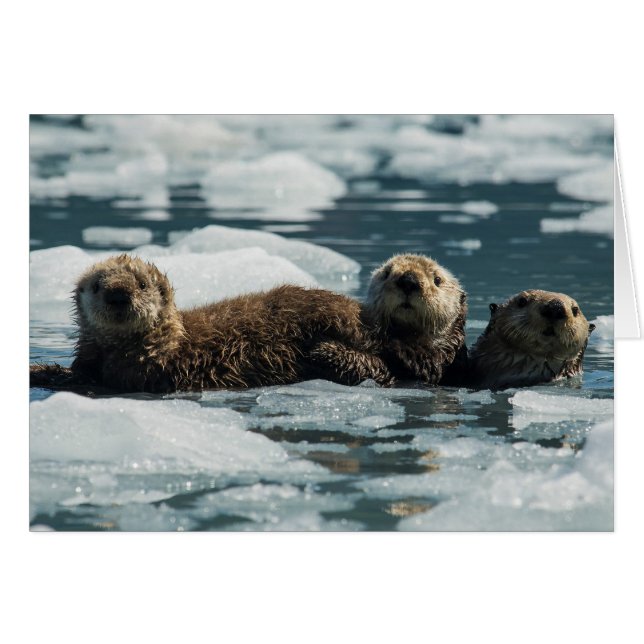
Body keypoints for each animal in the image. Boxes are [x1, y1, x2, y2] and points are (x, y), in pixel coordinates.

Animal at [29, 254, 392, 394]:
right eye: (97, 286)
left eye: (142, 285)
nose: (118, 295)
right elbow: (78, 373)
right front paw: (39, 371)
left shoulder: (139, 372)